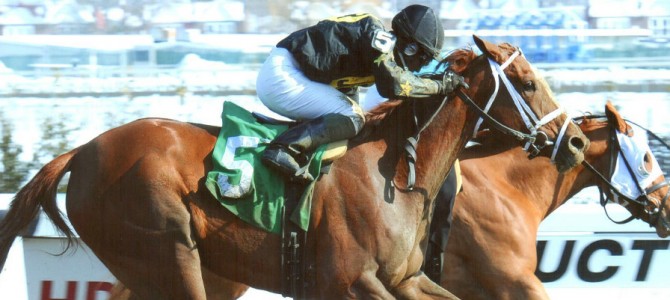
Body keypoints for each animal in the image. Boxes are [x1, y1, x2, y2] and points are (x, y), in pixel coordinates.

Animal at [0, 35, 588, 298]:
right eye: (529, 83)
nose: (579, 140)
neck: (399, 174)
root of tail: (84, 151)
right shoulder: (352, 282)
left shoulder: (406, 279)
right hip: (167, 254)